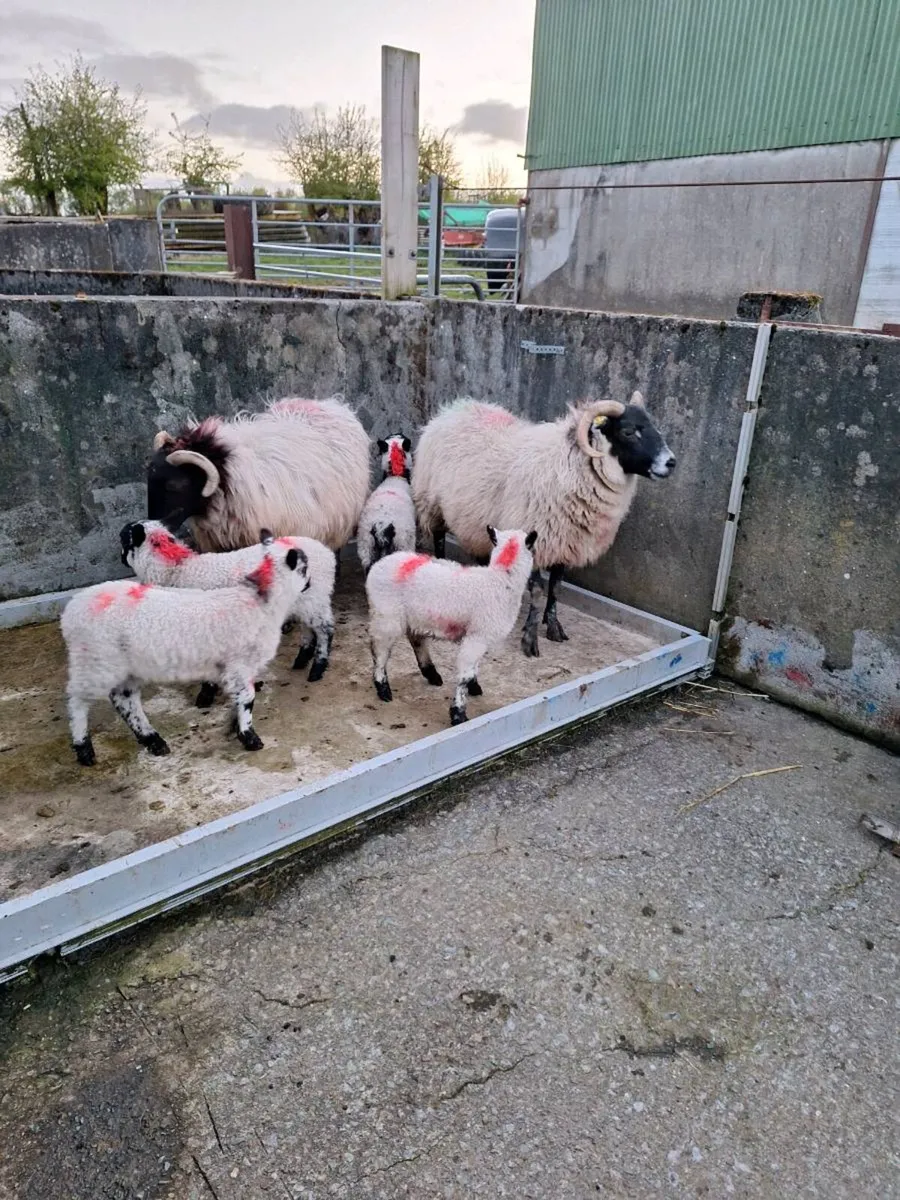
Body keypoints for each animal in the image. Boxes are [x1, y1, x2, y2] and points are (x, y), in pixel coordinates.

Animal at [61, 540, 309, 765]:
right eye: (304, 567)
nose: (309, 583)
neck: (260, 602)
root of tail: (71, 610)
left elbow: (238, 697)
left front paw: (235, 726)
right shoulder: (239, 664)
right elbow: (247, 699)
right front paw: (249, 737)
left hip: (123, 664)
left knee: (124, 699)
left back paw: (153, 740)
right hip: (94, 659)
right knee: (77, 701)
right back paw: (84, 749)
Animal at [120, 520, 336, 690]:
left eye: (123, 538)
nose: (121, 559)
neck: (178, 570)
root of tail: (326, 552)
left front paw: (206, 694)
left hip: (315, 596)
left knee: (325, 629)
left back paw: (317, 669)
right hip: (306, 600)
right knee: (308, 626)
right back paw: (301, 659)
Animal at [365, 525, 538, 726]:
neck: (500, 580)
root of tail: (380, 563)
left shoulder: (478, 636)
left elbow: (474, 667)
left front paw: (473, 688)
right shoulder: (478, 635)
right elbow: (466, 674)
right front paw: (458, 714)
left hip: (414, 615)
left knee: (415, 639)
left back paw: (431, 673)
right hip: (386, 613)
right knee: (380, 649)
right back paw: (383, 688)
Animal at [412, 393, 675, 657]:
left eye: (654, 427)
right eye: (628, 431)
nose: (671, 462)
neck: (572, 465)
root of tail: (454, 408)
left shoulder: (567, 541)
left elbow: (556, 587)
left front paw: (553, 626)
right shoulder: (536, 537)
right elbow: (538, 590)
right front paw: (530, 637)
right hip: (432, 501)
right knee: (439, 536)